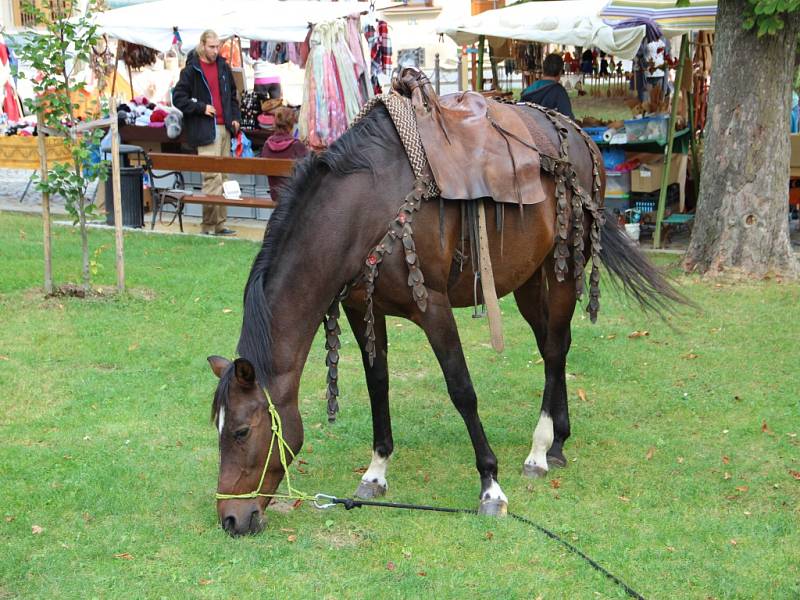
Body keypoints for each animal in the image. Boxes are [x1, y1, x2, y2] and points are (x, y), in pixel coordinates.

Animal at [205, 102, 680, 536]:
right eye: (220, 429)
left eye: (242, 432)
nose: (231, 518)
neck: (366, 207)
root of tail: (581, 136)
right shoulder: (363, 309)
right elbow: (378, 384)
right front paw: (376, 471)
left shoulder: (432, 307)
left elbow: (461, 390)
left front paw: (490, 486)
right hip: (527, 278)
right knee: (554, 347)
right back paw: (558, 441)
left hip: (561, 270)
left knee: (553, 348)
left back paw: (539, 450)